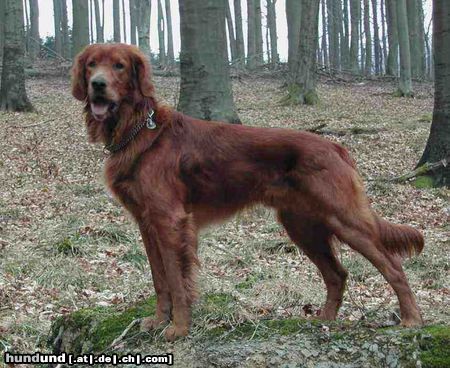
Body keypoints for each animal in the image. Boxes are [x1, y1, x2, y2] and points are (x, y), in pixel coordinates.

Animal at [72, 44, 424, 340]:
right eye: (92, 65)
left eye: (119, 66)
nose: (98, 85)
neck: (137, 131)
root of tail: (335, 147)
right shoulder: (147, 223)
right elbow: (160, 279)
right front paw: (159, 321)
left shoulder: (170, 220)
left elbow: (176, 279)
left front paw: (178, 329)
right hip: (302, 226)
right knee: (337, 273)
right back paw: (324, 318)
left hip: (343, 219)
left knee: (393, 267)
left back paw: (411, 320)